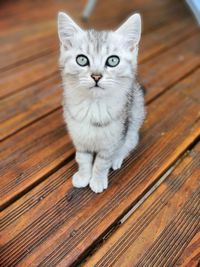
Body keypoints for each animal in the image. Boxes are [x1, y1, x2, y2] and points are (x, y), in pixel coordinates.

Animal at [57, 12, 145, 194]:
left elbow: (101, 163)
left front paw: (97, 180)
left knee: (127, 145)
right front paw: (83, 176)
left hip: (133, 127)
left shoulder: (112, 141)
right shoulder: (80, 138)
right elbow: (83, 159)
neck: (93, 106)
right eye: (82, 60)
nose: (96, 76)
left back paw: (117, 160)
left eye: (113, 61)